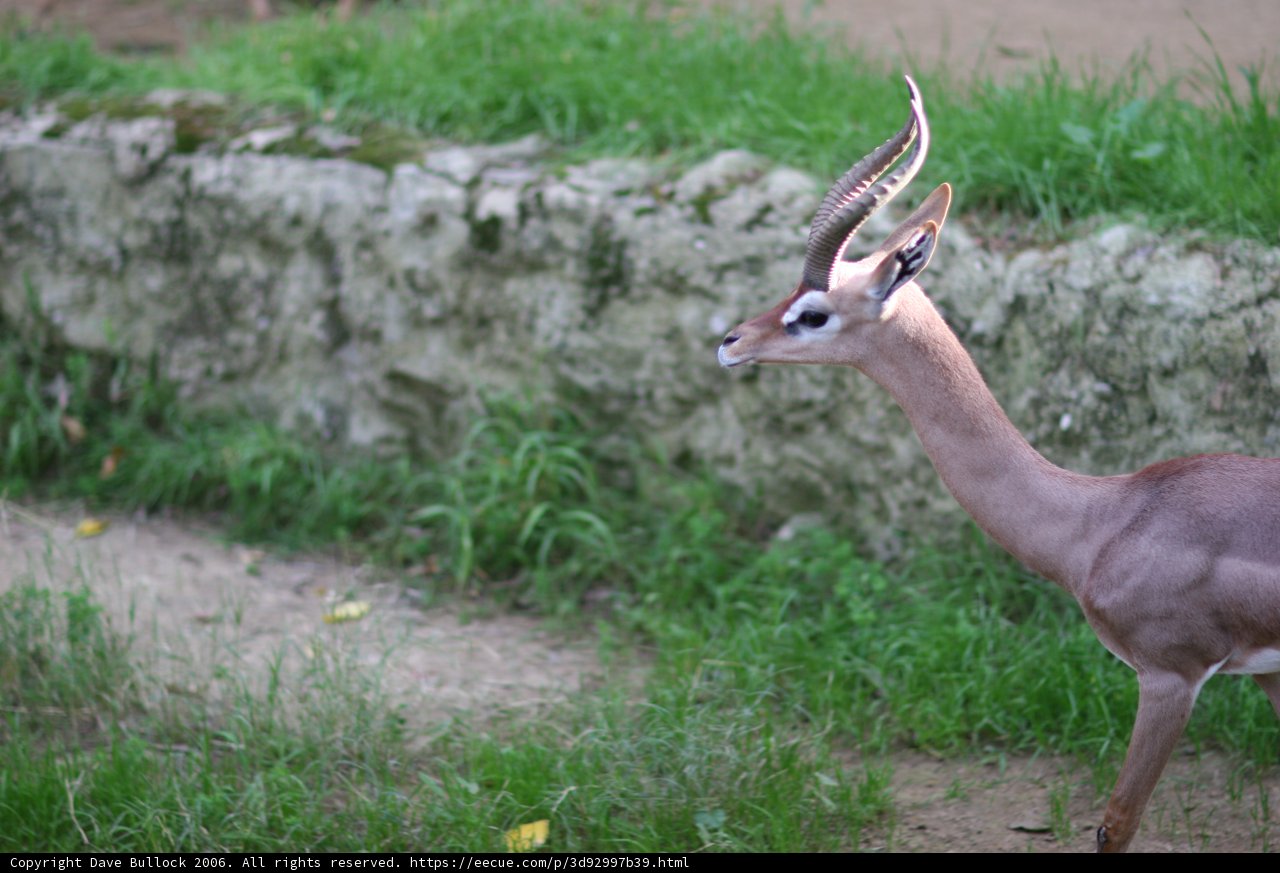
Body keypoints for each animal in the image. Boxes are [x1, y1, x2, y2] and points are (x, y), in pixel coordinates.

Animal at [717, 76, 1280, 852]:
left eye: (813, 313)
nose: (731, 340)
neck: (1104, 520)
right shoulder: (1266, 674)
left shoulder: (1171, 676)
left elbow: (1115, 825)